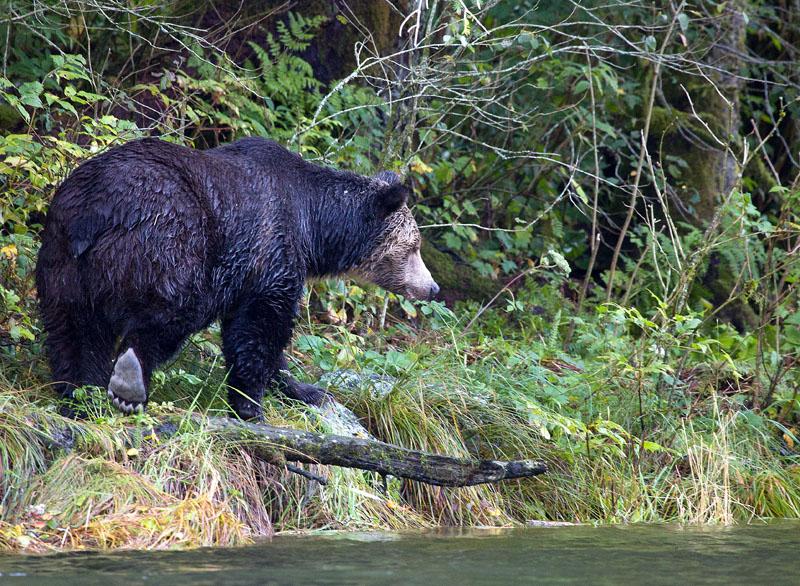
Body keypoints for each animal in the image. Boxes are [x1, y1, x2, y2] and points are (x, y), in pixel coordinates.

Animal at [36, 137, 438, 418]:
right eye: (414, 246)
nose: (432, 287)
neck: (315, 224)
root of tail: (95, 212)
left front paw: (306, 389)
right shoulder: (270, 249)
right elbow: (260, 329)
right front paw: (252, 405)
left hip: (63, 263)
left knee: (74, 331)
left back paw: (78, 393)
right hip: (166, 245)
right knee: (169, 314)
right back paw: (129, 384)